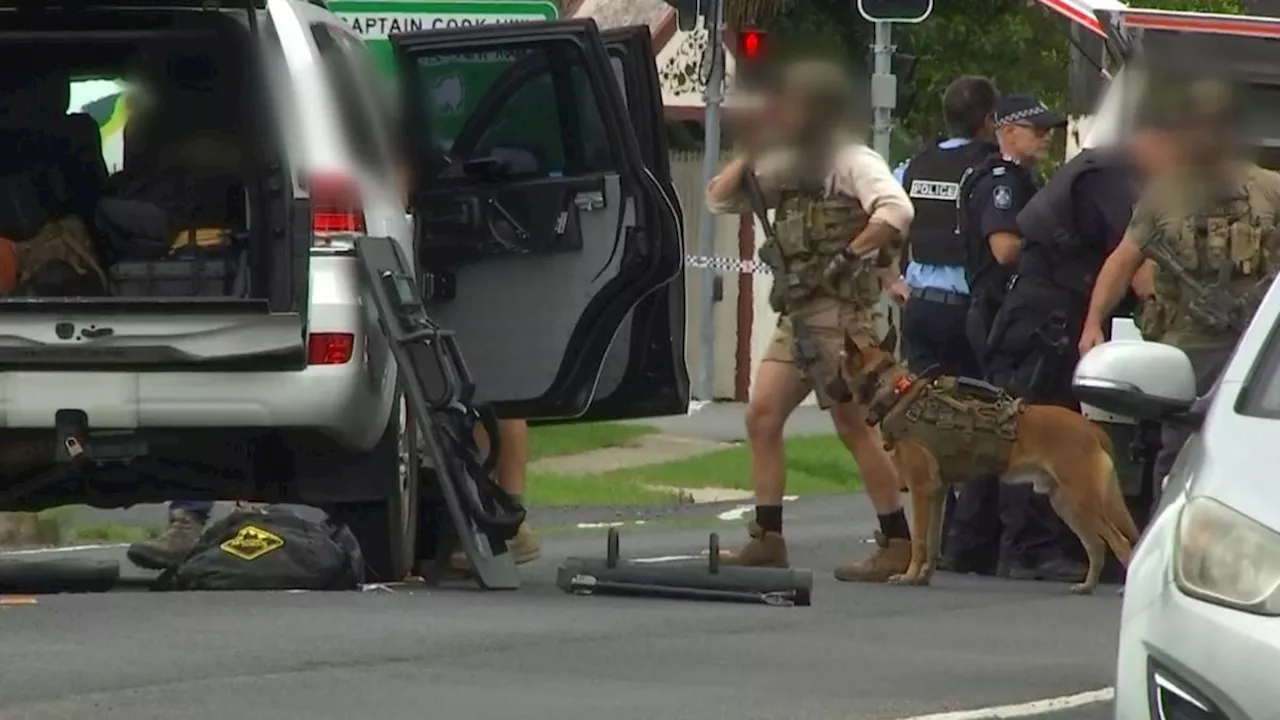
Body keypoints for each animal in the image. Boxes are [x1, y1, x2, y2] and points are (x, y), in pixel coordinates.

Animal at [844, 327, 1136, 591]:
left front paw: (909, 576)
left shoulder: (921, 490)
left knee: (1120, 543)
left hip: (1084, 501)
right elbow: (933, 542)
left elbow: (919, 540)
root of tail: (1091, 429)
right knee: (1097, 545)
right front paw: (923, 577)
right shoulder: (937, 492)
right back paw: (1087, 585)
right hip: (1066, 504)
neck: (896, 393)